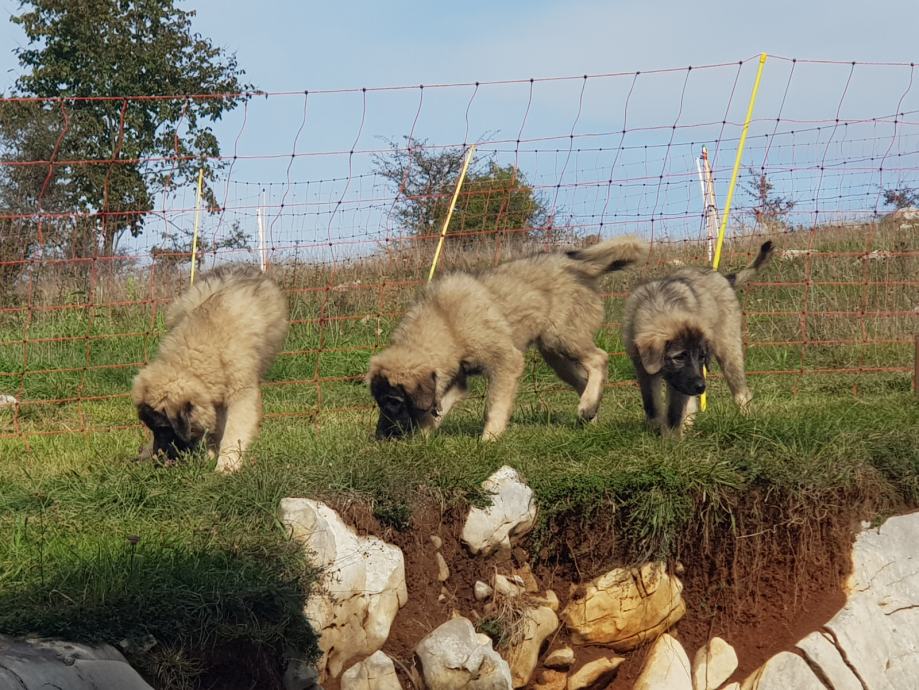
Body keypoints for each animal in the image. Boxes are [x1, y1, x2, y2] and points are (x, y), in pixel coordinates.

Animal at [132, 265, 288, 472]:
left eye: (164, 428)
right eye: (153, 428)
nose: (158, 458)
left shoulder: (240, 392)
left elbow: (233, 429)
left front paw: (226, 464)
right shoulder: (212, 393)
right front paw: (212, 455)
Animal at [368, 236, 649, 440]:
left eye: (393, 401)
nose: (380, 438)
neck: (446, 323)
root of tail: (576, 266)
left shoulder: (506, 361)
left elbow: (494, 405)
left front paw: (489, 440)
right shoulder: (456, 379)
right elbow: (435, 411)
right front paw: (423, 438)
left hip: (562, 337)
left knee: (599, 358)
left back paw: (588, 406)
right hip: (556, 355)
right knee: (584, 378)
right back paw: (590, 414)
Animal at [622, 241, 774, 436]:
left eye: (701, 356)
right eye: (679, 357)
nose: (701, 387)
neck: (661, 304)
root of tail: (723, 277)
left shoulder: (681, 380)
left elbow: (674, 411)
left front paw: (670, 438)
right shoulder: (644, 368)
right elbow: (652, 406)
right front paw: (656, 430)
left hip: (728, 348)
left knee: (741, 392)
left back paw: (747, 420)